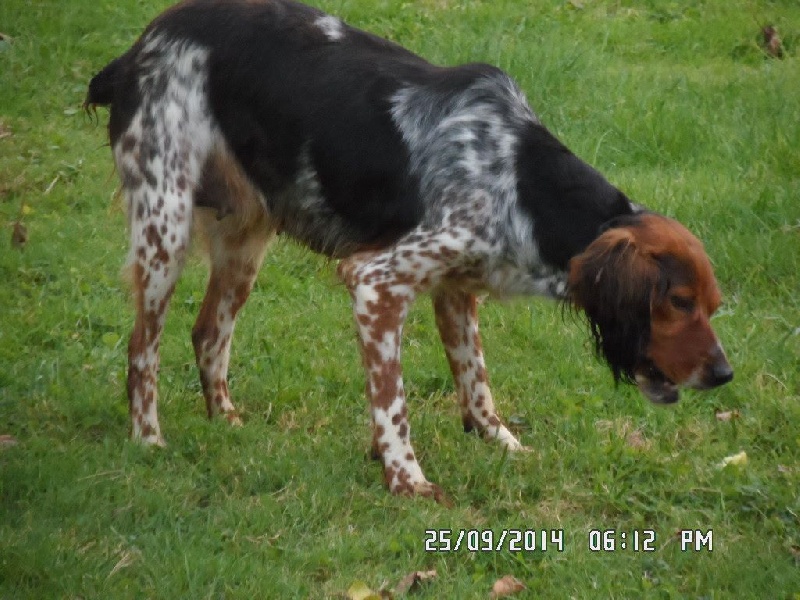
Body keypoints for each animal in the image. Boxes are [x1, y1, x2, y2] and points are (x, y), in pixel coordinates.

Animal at [86, 0, 732, 500]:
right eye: (677, 301)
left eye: (712, 305)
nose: (725, 374)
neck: (523, 180)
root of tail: (139, 46)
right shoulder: (376, 283)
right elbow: (393, 404)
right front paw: (406, 479)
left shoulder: (456, 289)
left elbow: (476, 384)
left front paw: (500, 442)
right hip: (164, 227)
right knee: (142, 348)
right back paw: (148, 439)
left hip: (245, 244)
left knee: (207, 333)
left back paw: (227, 421)